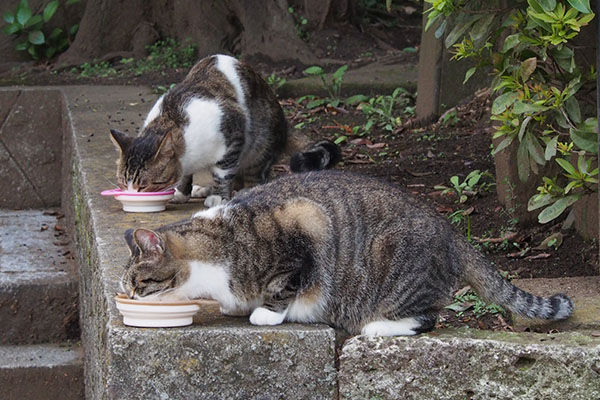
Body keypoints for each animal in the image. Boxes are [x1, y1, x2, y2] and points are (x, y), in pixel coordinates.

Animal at [110, 53, 340, 208]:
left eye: (143, 186)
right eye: (122, 182)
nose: (131, 194)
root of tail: (284, 121)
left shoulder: (233, 131)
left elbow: (223, 171)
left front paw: (219, 196)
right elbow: (185, 175)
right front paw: (183, 192)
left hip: (259, 144)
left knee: (256, 173)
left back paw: (245, 189)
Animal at [119, 170, 576, 336]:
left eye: (139, 283)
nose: (126, 297)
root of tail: (450, 230)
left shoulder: (305, 225)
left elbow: (284, 284)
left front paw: (266, 312)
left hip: (395, 268)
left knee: (426, 316)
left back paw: (378, 327)